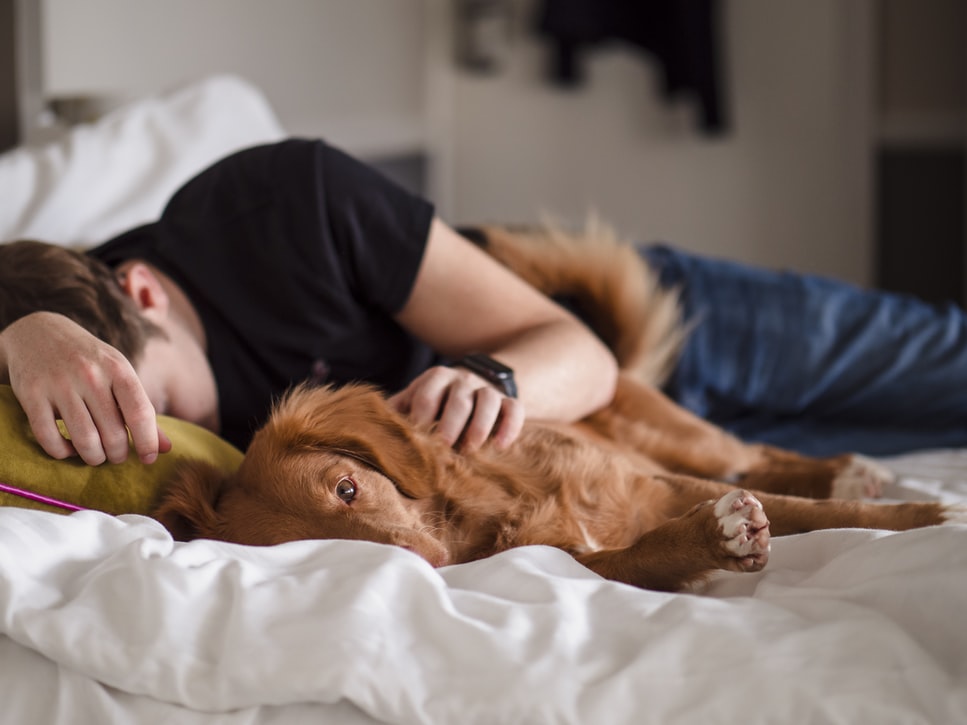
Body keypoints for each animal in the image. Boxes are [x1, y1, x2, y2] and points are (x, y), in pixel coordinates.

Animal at [155, 223, 964, 592]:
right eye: (322, 550)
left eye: (349, 488)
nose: (429, 564)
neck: (486, 508)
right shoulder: (575, 558)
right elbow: (644, 552)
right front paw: (713, 539)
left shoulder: (654, 480)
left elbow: (822, 514)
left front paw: (929, 515)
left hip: (683, 438)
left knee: (758, 454)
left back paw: (849, 469)